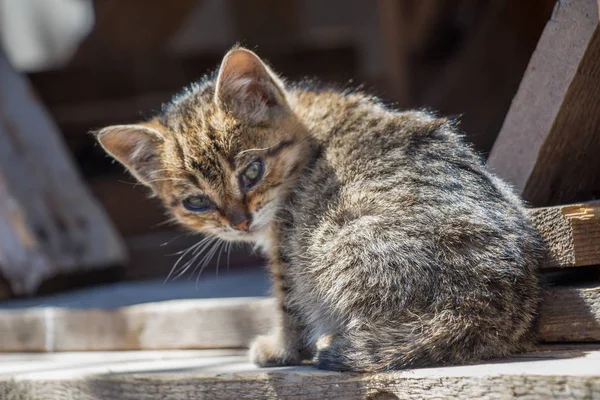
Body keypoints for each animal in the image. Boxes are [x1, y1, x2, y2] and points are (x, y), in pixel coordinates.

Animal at [97, 46, 544, 372]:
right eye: (197, 202)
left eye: (252, 171)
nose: (240, 222)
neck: (308, 125)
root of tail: (484, 306)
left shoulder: (289, 248)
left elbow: (290, 306)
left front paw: (280, 350)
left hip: (337, 240)